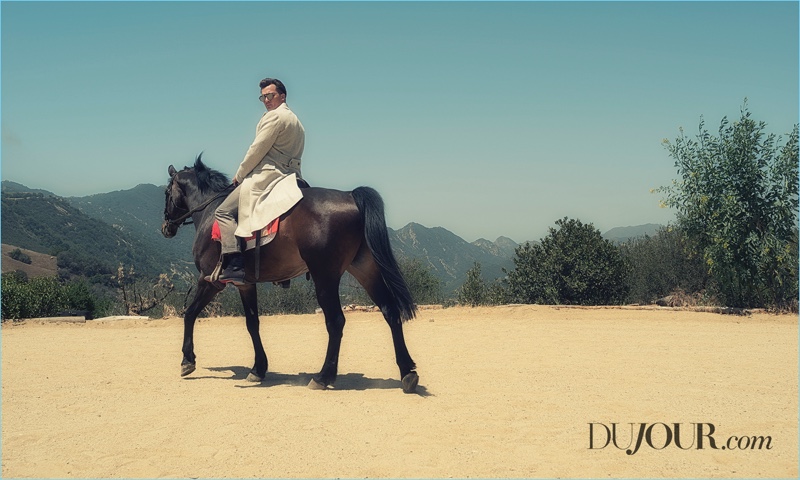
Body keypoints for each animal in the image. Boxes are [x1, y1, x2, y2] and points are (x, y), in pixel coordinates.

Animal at [161, 158, 418, 394]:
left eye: (166, 192)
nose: (166, 227)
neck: (210, 213)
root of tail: (350, 196)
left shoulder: (209, 280)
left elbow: (190, 314)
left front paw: (187, 360)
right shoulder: (245, 284)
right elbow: (252, 323)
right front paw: (258, 369)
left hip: (325, 277)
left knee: (336, 321)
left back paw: (323, 376)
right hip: (364, 268)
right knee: (390, 310)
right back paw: (408, 373)